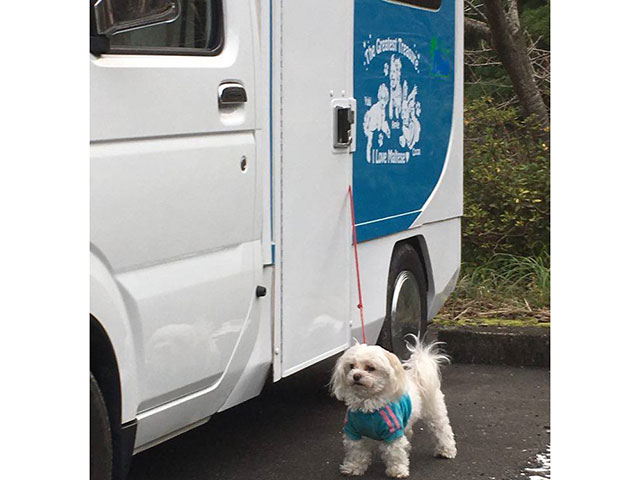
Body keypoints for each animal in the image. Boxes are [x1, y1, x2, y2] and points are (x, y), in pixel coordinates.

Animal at [330, 338, 456, 476]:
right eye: (351, 366)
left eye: (371, 368)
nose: (356, 376)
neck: (367, 405)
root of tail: (416, 376)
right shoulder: (353, 432)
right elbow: (356, 452)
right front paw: (353, 467)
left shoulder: (393, 432)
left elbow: (395, 453)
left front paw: (398, 470)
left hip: (434, 413)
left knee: (442, 431)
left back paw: (446, 450)